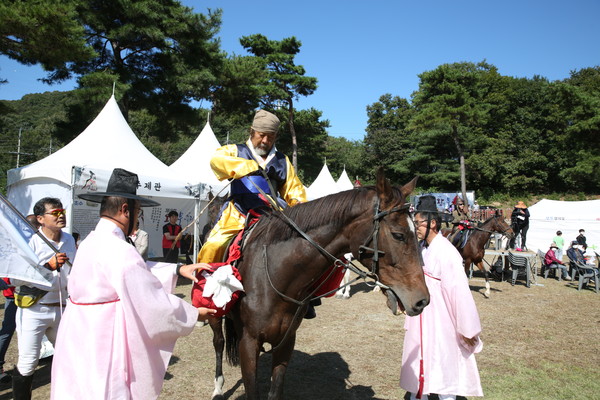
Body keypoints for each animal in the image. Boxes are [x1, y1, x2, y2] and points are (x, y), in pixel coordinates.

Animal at [207, 171, 432, 400]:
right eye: (398, 235)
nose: (422, 300)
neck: (274, 280)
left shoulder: (286, 342)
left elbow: (275, 390)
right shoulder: (248, 342)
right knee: (218, 342)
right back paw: (218, 388)